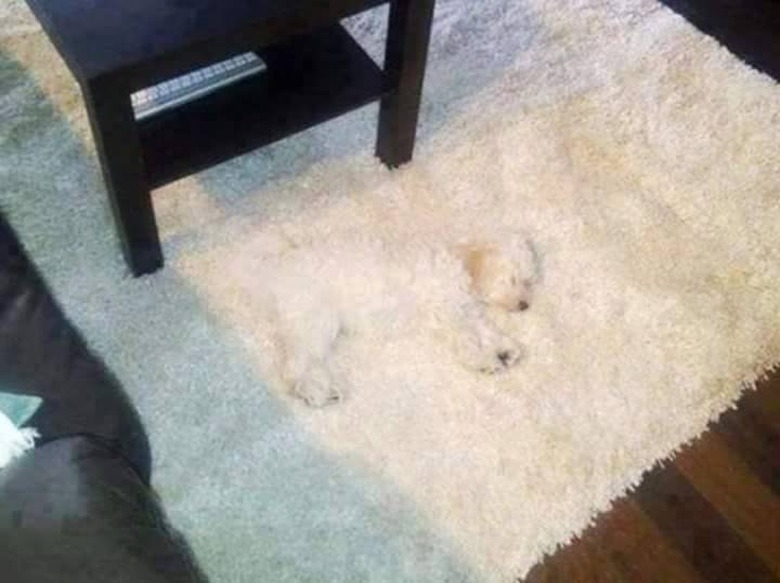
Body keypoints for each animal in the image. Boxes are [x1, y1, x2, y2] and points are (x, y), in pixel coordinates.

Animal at [258, 232, 540, 406]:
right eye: (512, 279)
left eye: (528, 281)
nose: (525, 305)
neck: (458, 263)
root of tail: (280, 267)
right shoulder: (446, 315)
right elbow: (468, 341)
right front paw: (486, 361)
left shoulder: (466, 310)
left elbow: (486, 330)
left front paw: (506, 348)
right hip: (317, 321)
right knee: (294, 368)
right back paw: (316, 393)